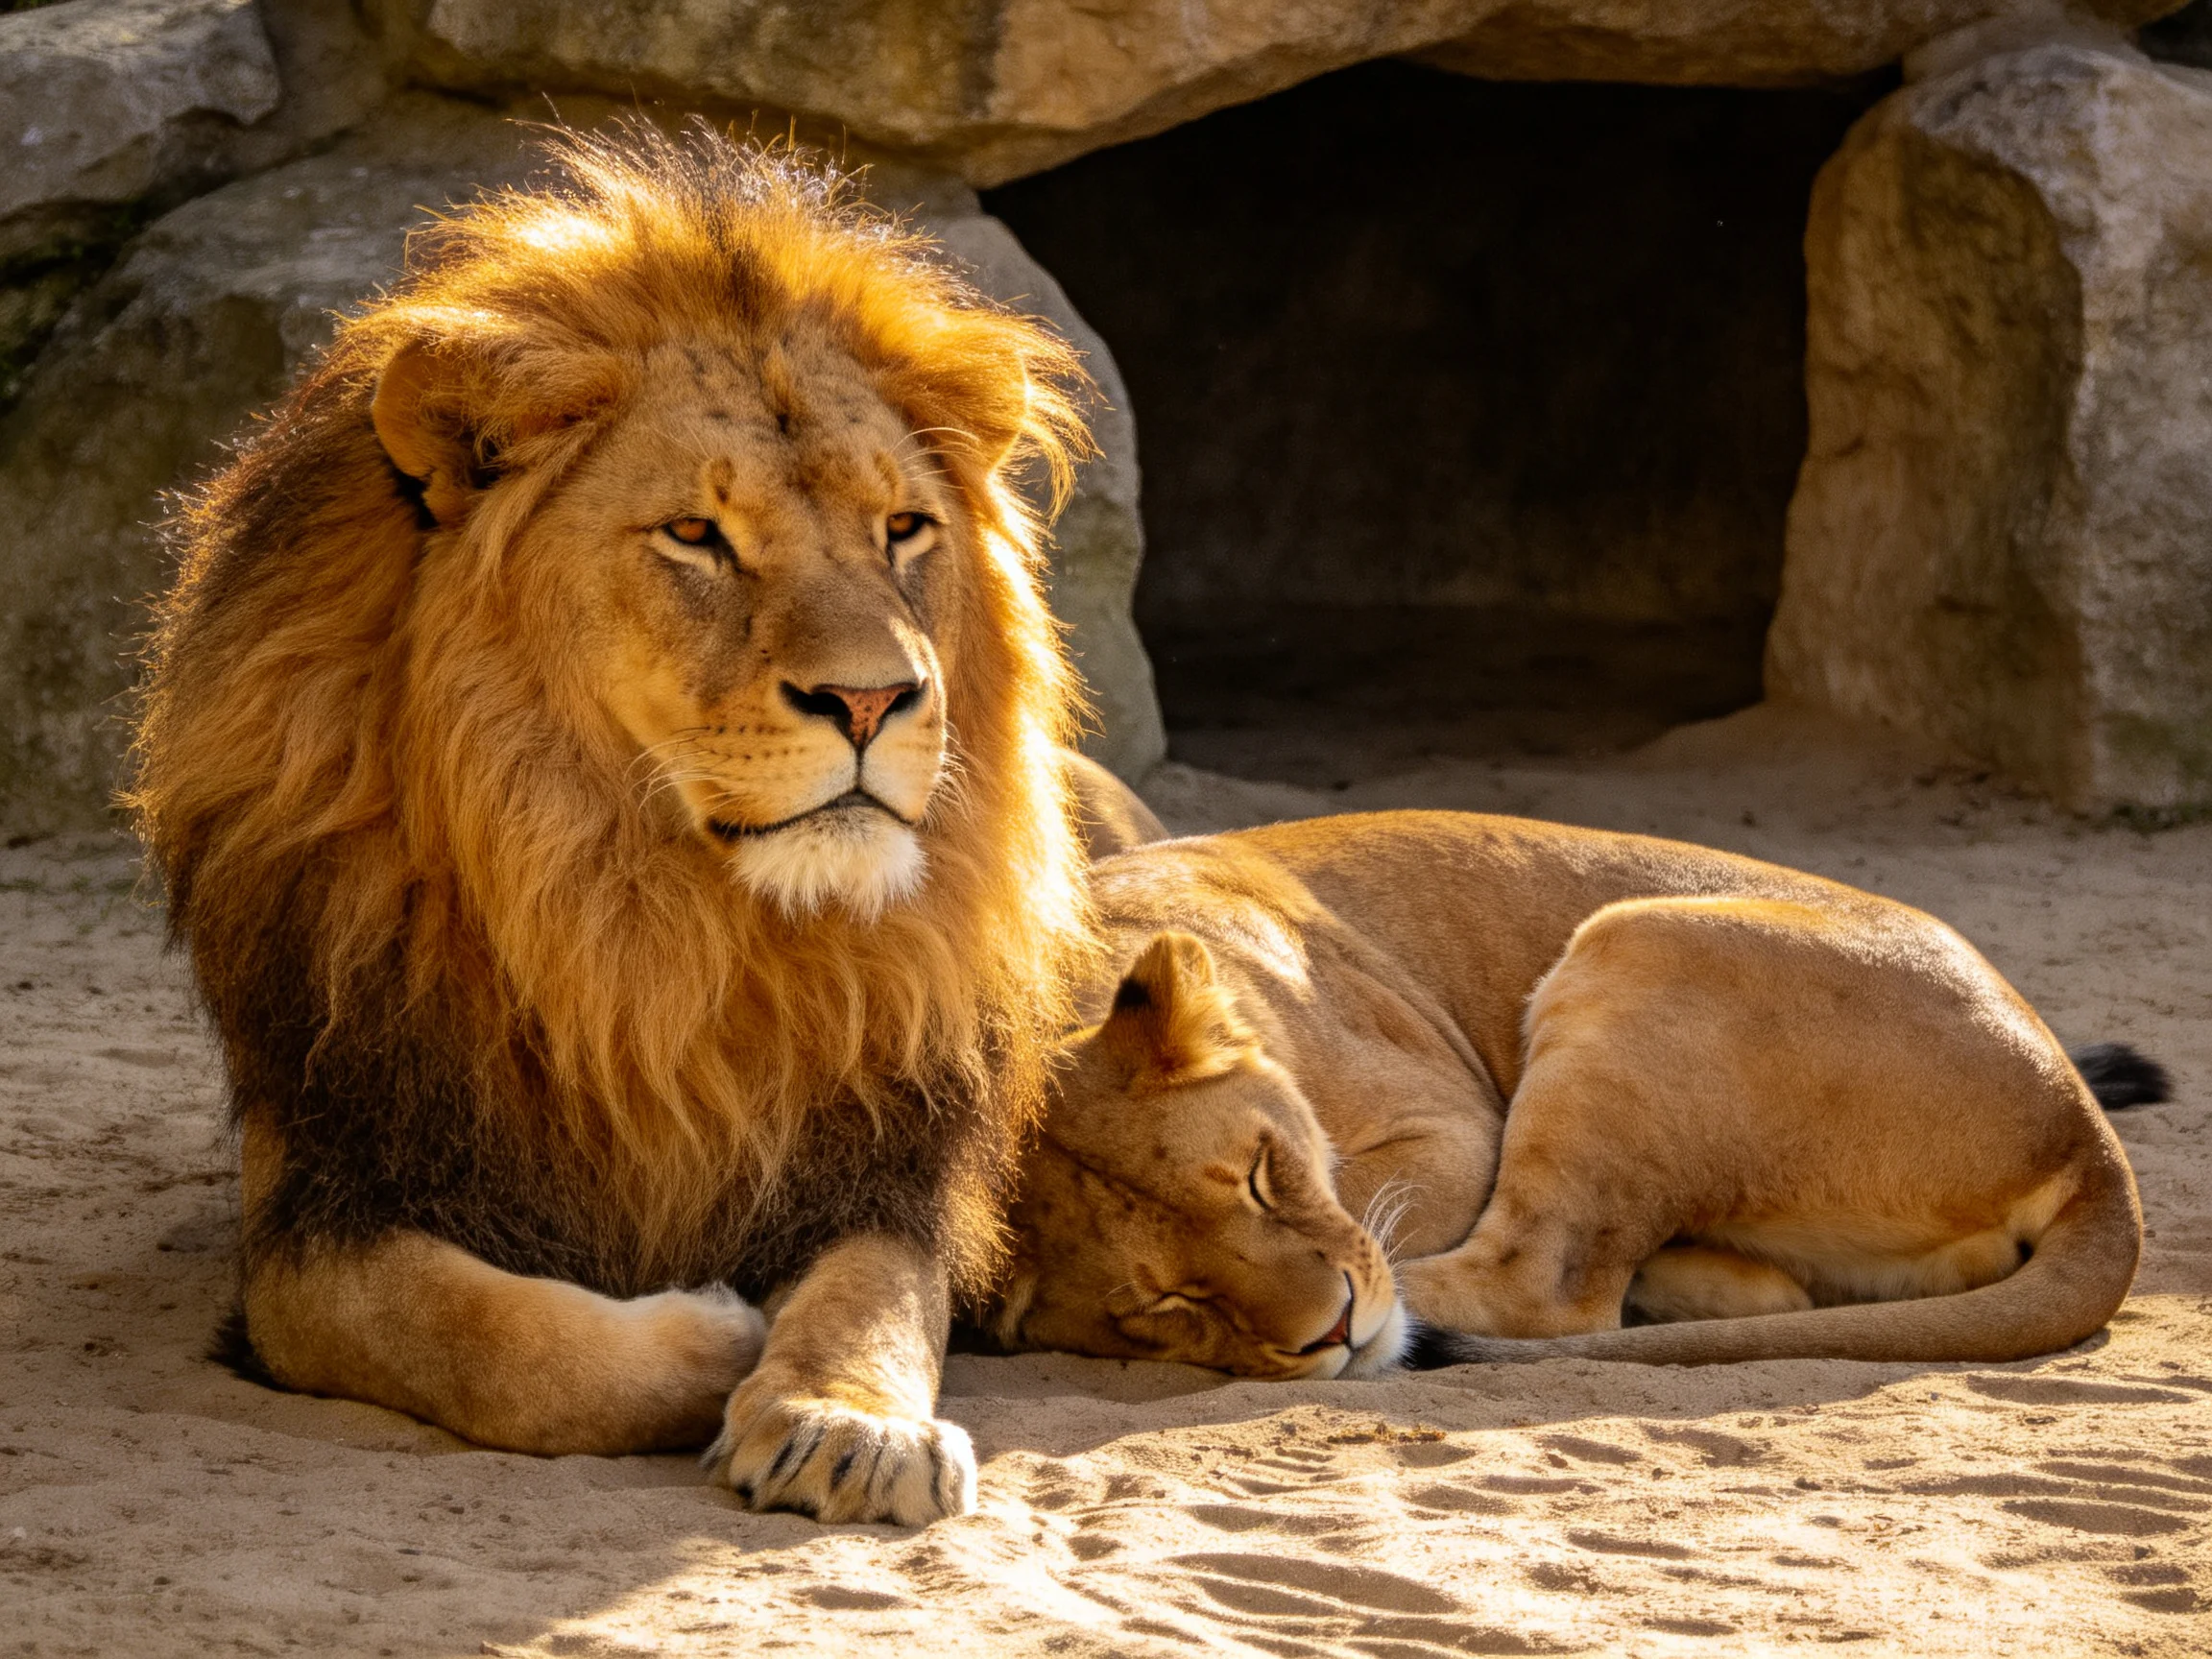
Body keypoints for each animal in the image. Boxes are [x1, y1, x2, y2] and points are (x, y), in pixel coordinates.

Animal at [129, 125, 1161, 1524]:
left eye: (903, 528)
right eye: (695, 535)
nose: (874, 698)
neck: (647, 925)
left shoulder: (891, 1163)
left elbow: (877, 1296)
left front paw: (847, 1418)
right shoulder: (318, 1203)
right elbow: (485, 1342)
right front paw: (721, 1336)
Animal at [986, 812, 2158, 1377]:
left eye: (1264, 1179)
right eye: (1165, 1305)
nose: (1334, 1335)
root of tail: (2086, 1131)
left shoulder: (1452, 1126)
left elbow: (1387, 1223)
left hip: (1635, 947)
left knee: (1541, 1286)